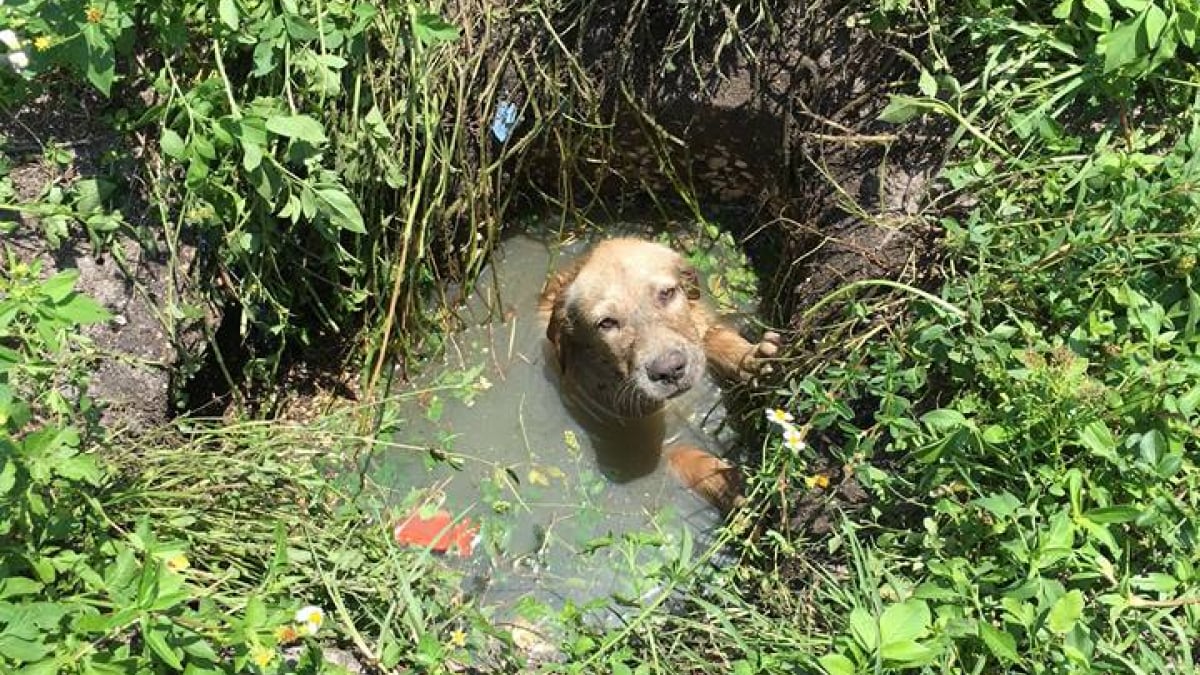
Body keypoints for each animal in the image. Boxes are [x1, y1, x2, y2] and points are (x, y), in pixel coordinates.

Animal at [542, 237, 782, 509]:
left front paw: (752, 358)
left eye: (666, 294)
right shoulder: (636, 439)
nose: (669, 370)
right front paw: (726, 482)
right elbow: (682, 454)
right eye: (606, 323)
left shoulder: (699, 326)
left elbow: (715, 338)